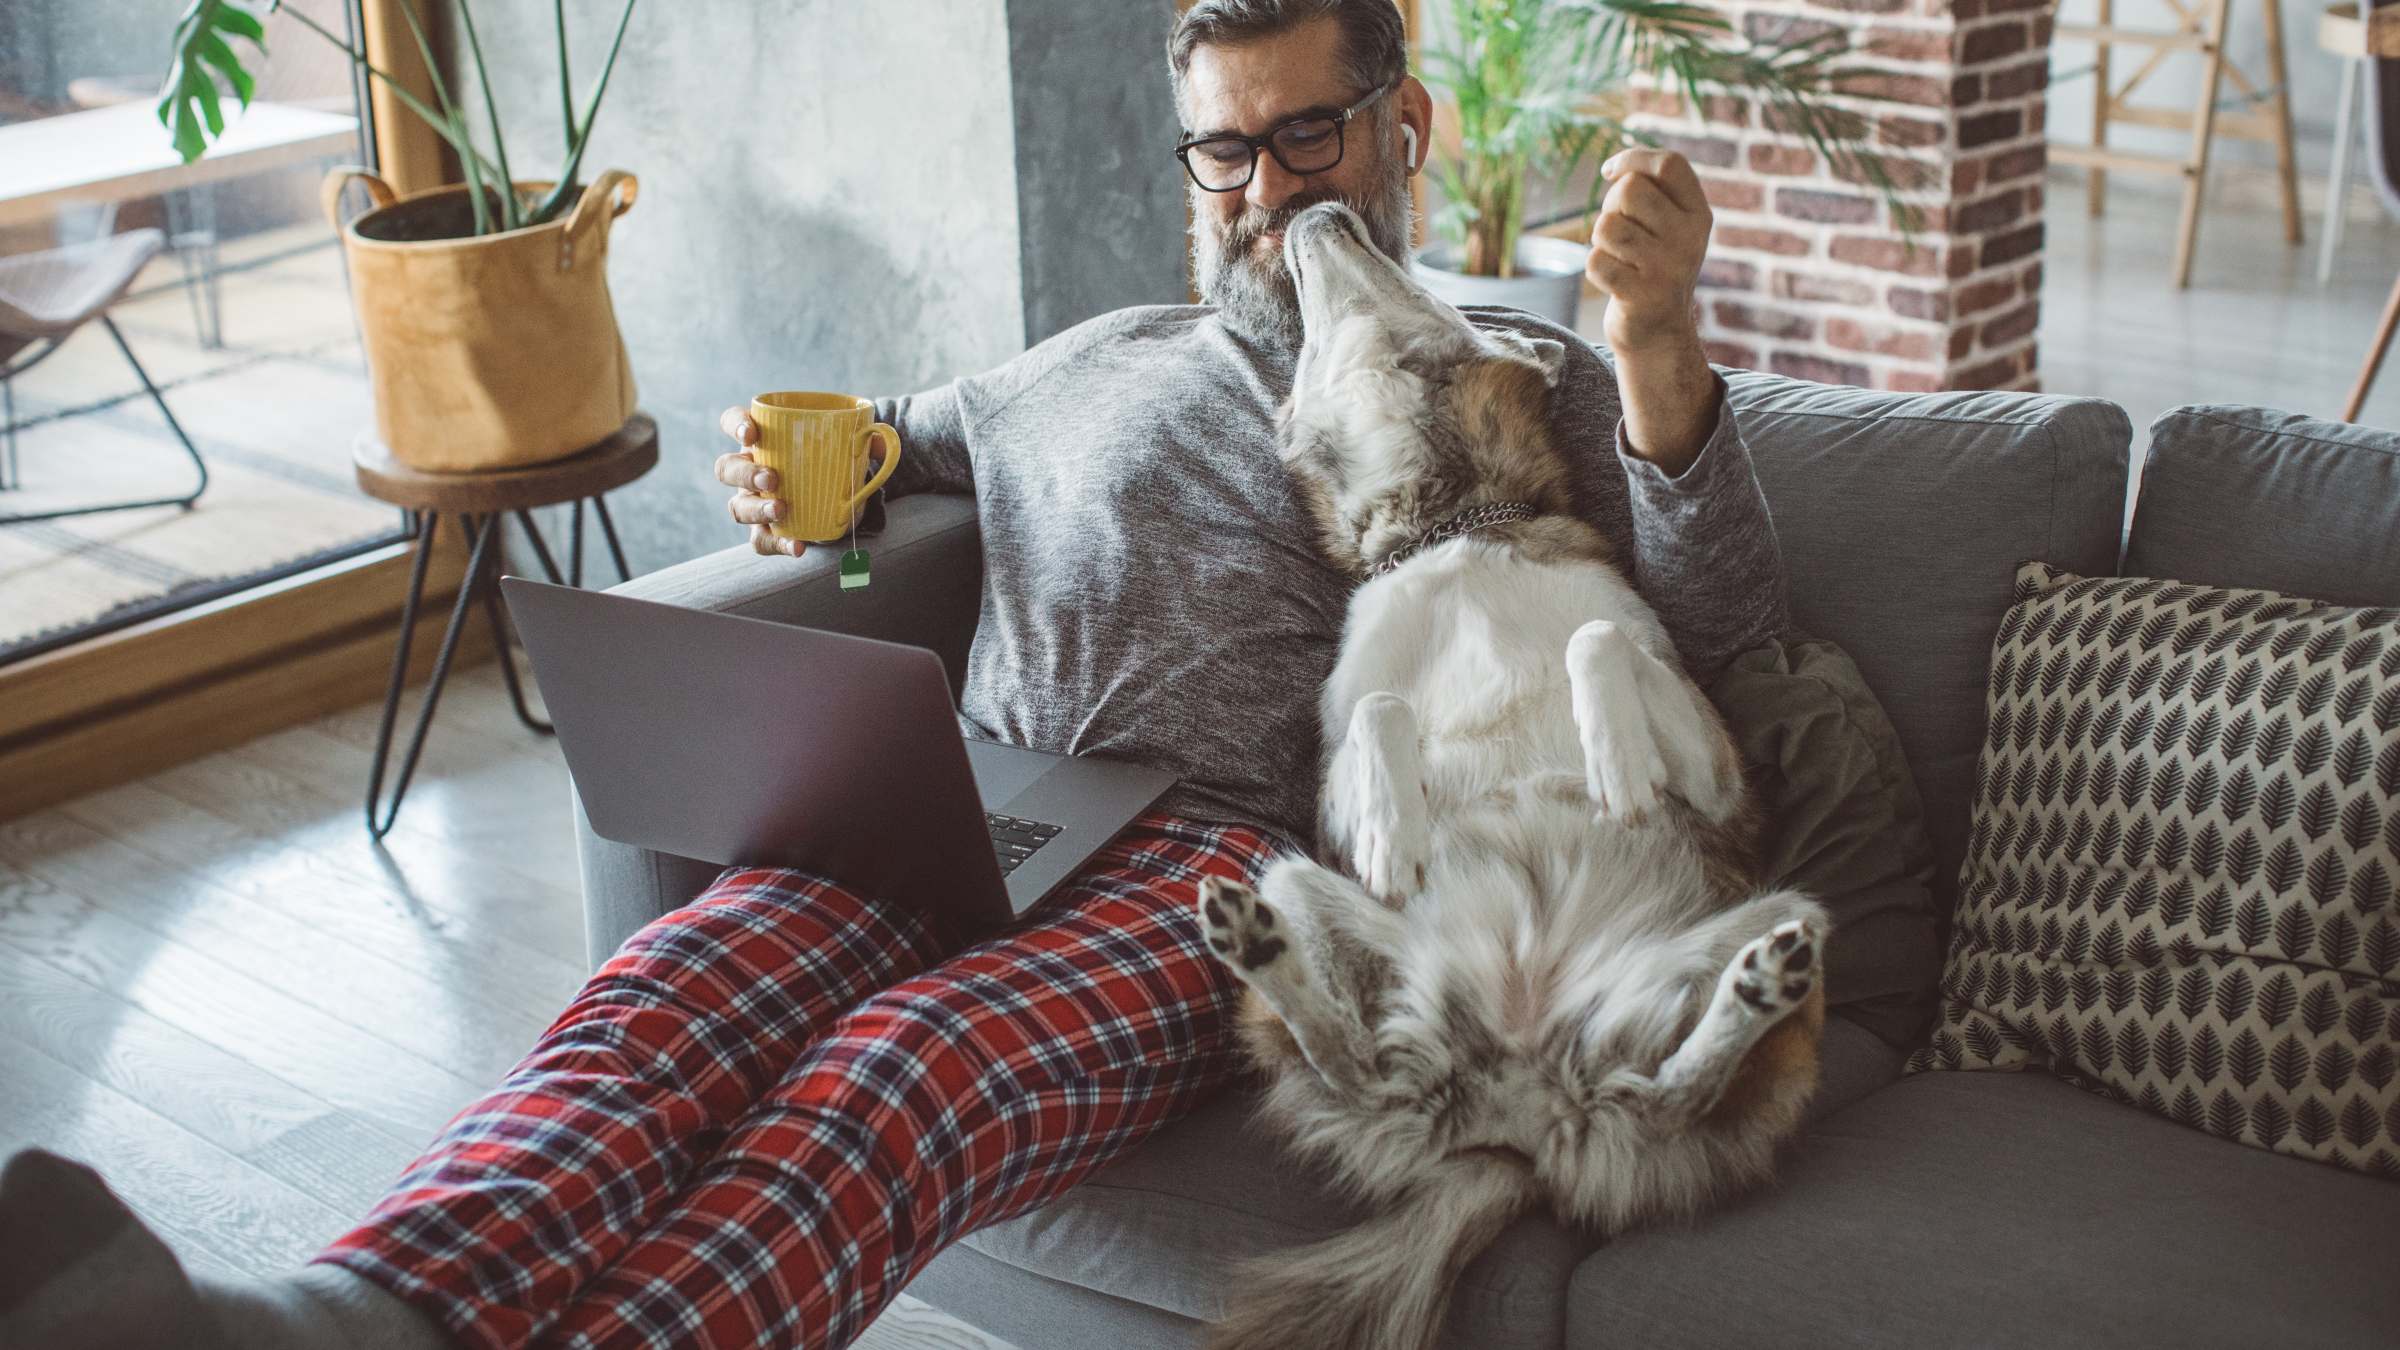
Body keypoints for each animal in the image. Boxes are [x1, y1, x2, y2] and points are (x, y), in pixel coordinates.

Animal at [1190, 201, 1824, 1345]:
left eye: (1415, 276)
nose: (1318, 210)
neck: (1454, 533)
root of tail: (1517, 1121)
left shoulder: (1722, 776)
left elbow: (1595, 645)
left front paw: (1615, 761)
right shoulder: (1328, 788)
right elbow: (1382, 718)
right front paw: (1396, 830)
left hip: (1791, 916)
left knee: (1674, 1089)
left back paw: (1753, 993)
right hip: (1292, 875)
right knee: (1352, 1060)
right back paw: (1261, 951)